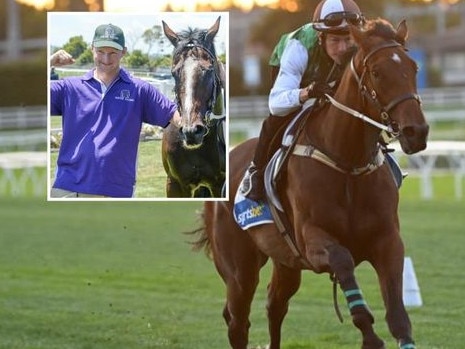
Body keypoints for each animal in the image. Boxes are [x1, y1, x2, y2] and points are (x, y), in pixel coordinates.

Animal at [191, 19, 428, 348]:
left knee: (275, 305)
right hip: (239, 270)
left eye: (413, 67)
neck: (347, 162)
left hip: (286, 261)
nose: (416, 131)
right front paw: (369, 333)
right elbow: (342, 261)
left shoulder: (388, 240)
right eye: (377, 72)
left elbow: (398, 315)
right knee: (237, 321)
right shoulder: (312, 240)